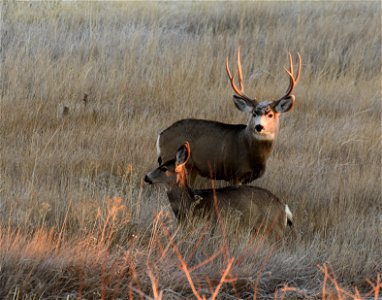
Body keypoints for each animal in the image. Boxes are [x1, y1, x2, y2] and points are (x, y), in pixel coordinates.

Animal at [145, 142, 294, 239]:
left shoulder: (207, 224)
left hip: (274, 230)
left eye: (164, 168)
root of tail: (284, 208)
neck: (190, 201)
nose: (146, 177)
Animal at [156, 49, 302, 184]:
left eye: (270, 114)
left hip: (192, 169)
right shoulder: (235, 173)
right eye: (254, 113)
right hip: (172, 158)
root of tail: (161, 135)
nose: (259, 127)